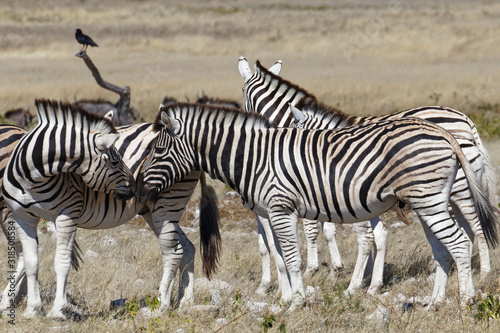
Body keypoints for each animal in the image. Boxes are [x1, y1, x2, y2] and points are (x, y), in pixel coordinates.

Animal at [0, 100, 220, 318]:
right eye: (114, 161)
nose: (135, 188)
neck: (33, 178)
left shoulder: (66, 213)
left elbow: (60, 261)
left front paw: (56, 310)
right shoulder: (22, 217)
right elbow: (31, 261)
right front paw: (31, 309)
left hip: (168, 203)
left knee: (173, 252)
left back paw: (162, 305)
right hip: (154, 211)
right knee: (187, 247)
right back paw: (185, 302)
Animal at [135, 104, 498, 308]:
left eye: (158, 151)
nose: (138, 191)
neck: (253, 157)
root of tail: (442, 129)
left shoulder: (281, 207)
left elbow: (292, 258)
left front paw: (296, 303)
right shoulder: (273, 211)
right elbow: (281, 257)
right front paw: (288, 297)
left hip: (431, 198)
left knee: (460, 242)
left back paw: (466, 301)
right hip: (428, 201)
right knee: (443, 248)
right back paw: (435, 302)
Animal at [237, 56, 496, 296]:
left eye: (242, 92)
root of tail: (466, 120)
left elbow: (309, 232)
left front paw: (317, 272)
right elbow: (374, 235)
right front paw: (369, 278)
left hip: (459, 190)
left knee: (476, 226)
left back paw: (483, 273)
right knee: (465, 230)